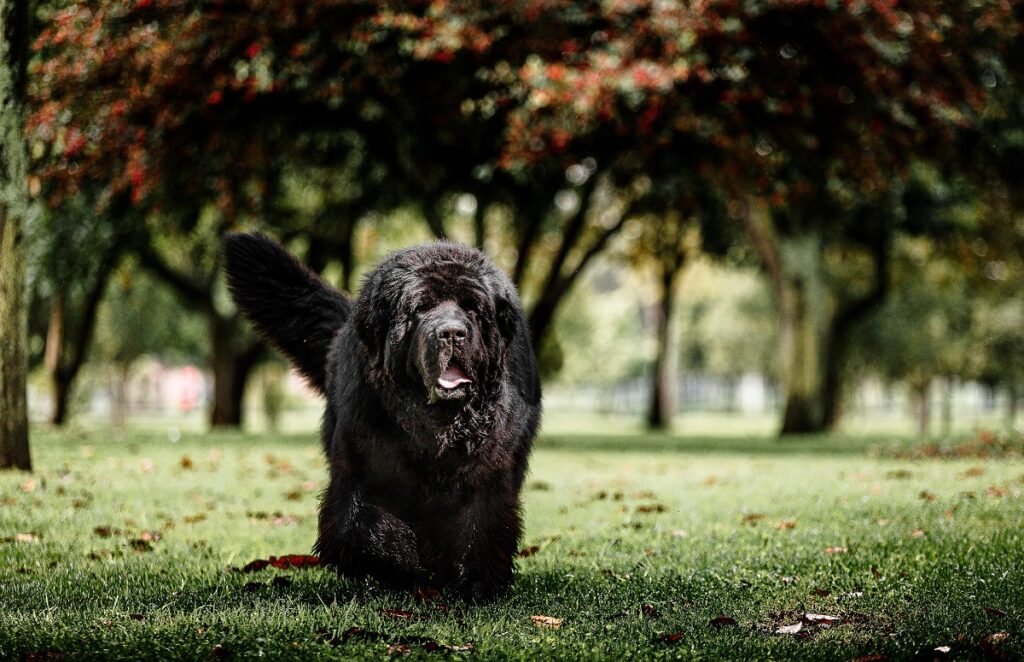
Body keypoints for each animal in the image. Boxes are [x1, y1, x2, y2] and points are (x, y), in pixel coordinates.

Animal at [224, 233, 544, 602]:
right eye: (421, 308)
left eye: (472, 309)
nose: (451, 333)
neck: (437, 425)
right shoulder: (361, 462)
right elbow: (362, 523)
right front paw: (399, 561)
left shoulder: (489, 471)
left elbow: (483, 526)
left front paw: (477, 584)